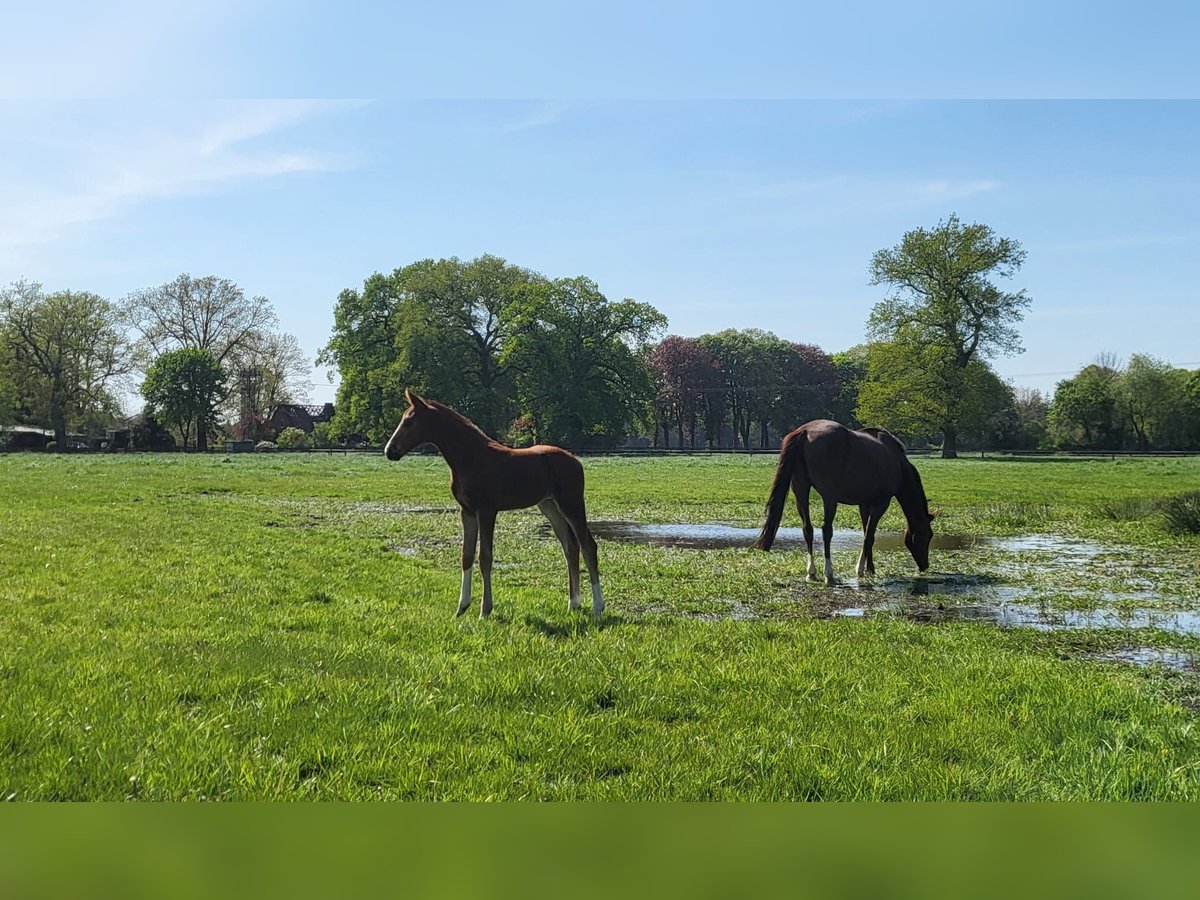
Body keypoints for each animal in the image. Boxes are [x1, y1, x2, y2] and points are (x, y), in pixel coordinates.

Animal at [384, 391, 604, 624]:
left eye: (409, 421)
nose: (390, 451)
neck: (470, 457)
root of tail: (575, 461)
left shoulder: (486, 511)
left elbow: (485, 557)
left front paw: (485, 610)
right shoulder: (467, 511)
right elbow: (466, 555)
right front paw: (461, 607)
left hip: (571, 504)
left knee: (588, 546)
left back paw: (598, 607)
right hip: (550, 506)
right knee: (570, 547)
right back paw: (574, 604)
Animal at [753, 422, 931, 585]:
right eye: (928, 535)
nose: (925, 566)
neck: (897, 463)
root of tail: (805, 431)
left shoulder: (864, 504)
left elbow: (867, 533)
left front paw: (869, 568)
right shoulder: (881, 504)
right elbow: (869, 536)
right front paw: (861, 569)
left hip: (801, 491)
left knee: (807, 529)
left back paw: (811, 573)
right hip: (829, 498)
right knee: (826, 531)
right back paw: (829, 574)